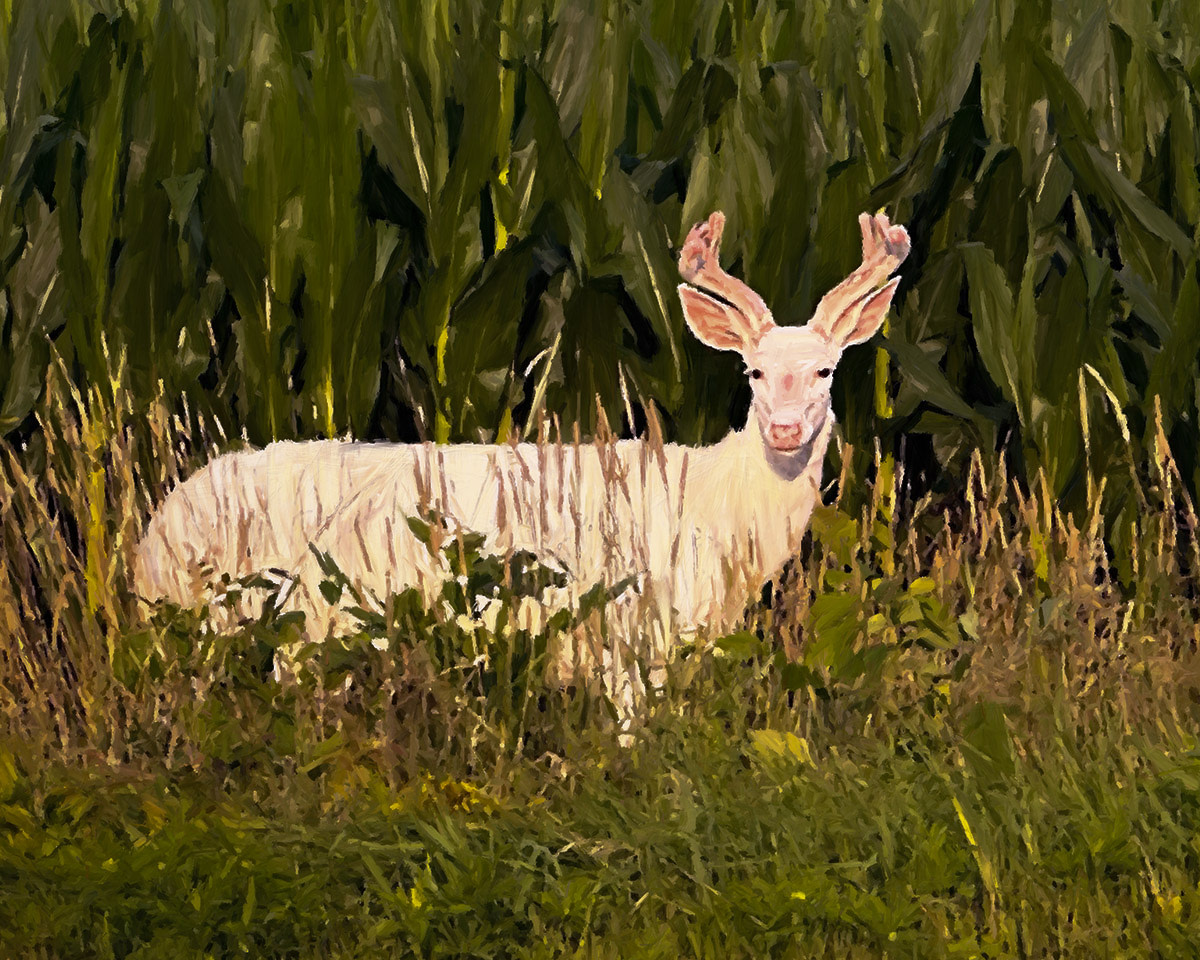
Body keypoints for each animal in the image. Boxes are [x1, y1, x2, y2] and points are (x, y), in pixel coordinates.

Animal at [133, 210, 910, 724]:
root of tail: (148, 541)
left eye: (826, 370)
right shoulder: (627, 633)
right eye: (752, 372)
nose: (784, 429)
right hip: (297, 618)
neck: (716, 511)